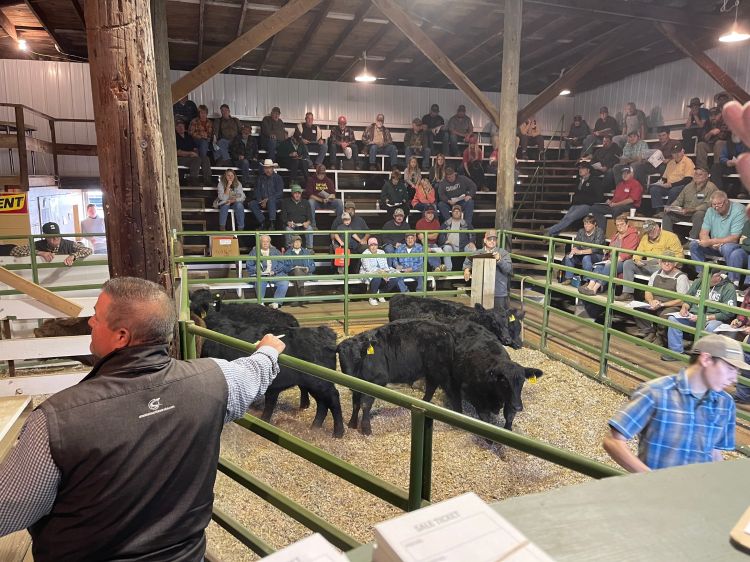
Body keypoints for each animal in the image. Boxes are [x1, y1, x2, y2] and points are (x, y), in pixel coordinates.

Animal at [197, 318, 344, 436]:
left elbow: (269, 406)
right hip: (313, 384)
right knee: (322, 404)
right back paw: (315, 426)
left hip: (320, 383)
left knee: (333, 399)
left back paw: (338, 432)